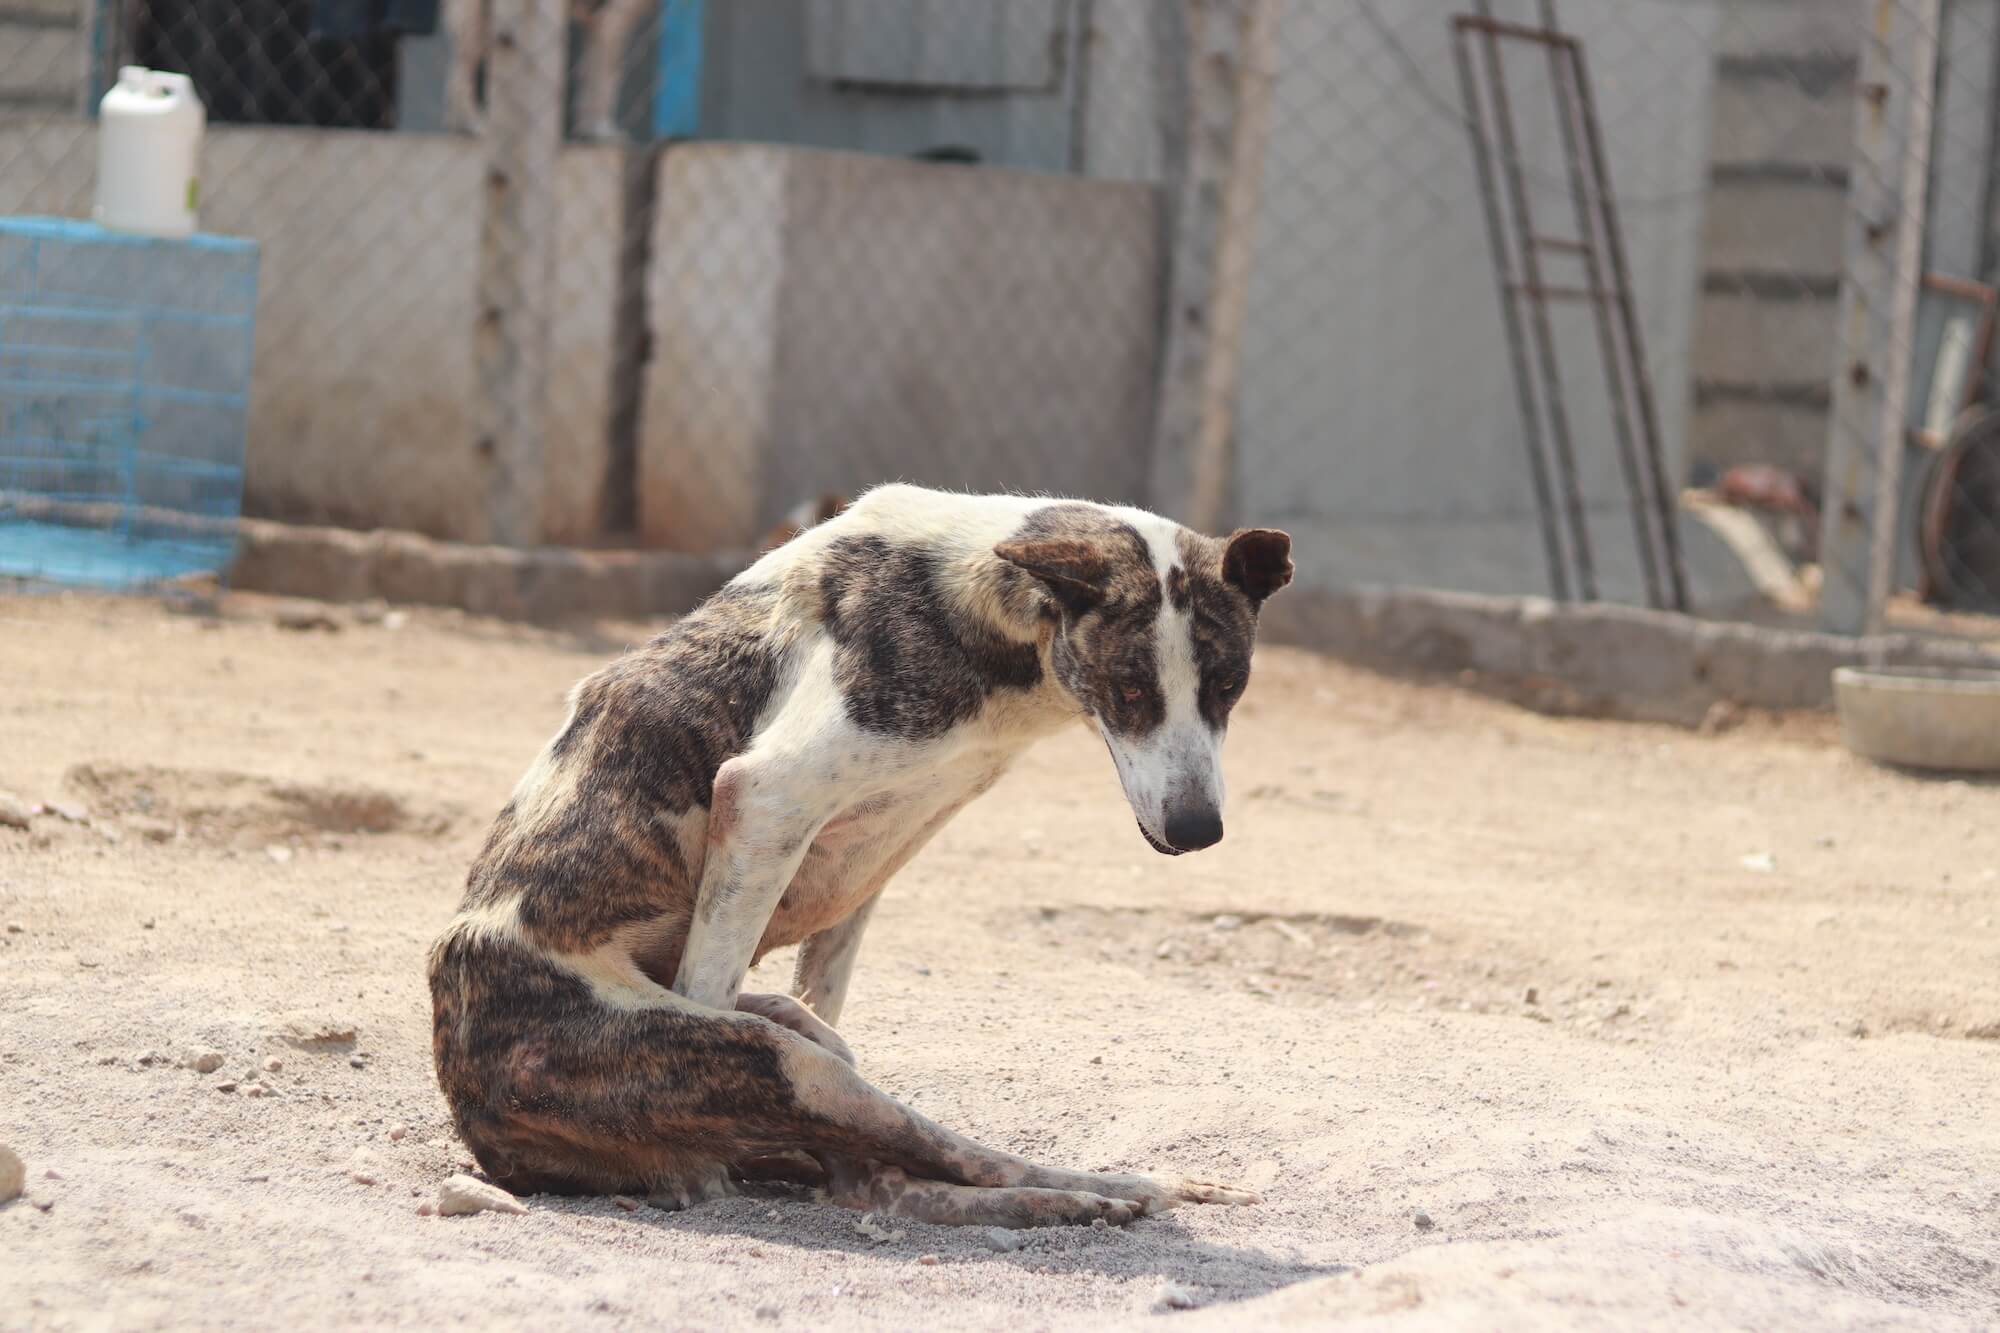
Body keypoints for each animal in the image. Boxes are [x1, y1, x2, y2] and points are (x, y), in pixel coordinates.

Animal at [428, 480, 1288, 1224]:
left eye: (1228, 687)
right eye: (1129, 691)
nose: (1196, 831)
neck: (985, 608)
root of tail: (479, 1123)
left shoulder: (865, 865)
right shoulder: (767, 797)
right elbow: (712, 978)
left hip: (810, 1050)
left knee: (871, 1171)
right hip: (782, 1065)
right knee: (924, 1155)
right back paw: (1110, 1190)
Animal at [444, 0, 648, 140]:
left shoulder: (598, 26)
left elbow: (590, 78)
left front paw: (586, 128)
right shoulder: (612, 23)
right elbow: (606, 82)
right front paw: (600, 130)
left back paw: (459, 126)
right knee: (459, 77)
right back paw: (473, 124)